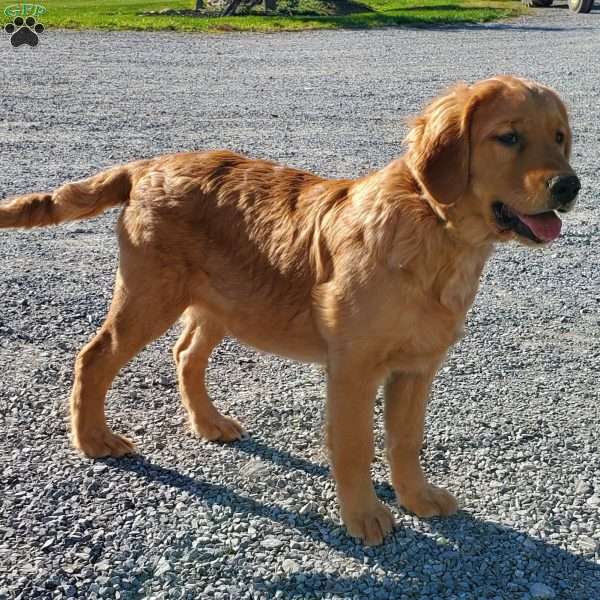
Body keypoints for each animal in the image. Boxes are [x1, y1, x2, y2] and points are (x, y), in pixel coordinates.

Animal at [1, 75, 580, 544]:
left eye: (559, 137)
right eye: (508, 137)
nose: (570, 185)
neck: (436, 232)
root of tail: (147, 166)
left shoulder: (417, 367)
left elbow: (405, 441)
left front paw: (417, 499)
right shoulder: (354, 366)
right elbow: (354, 445)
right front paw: (365, 517)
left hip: (222, 302)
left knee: (186, 355)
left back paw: (208, 423)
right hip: (149, 295)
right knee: (94, 357)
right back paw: (93, 439)